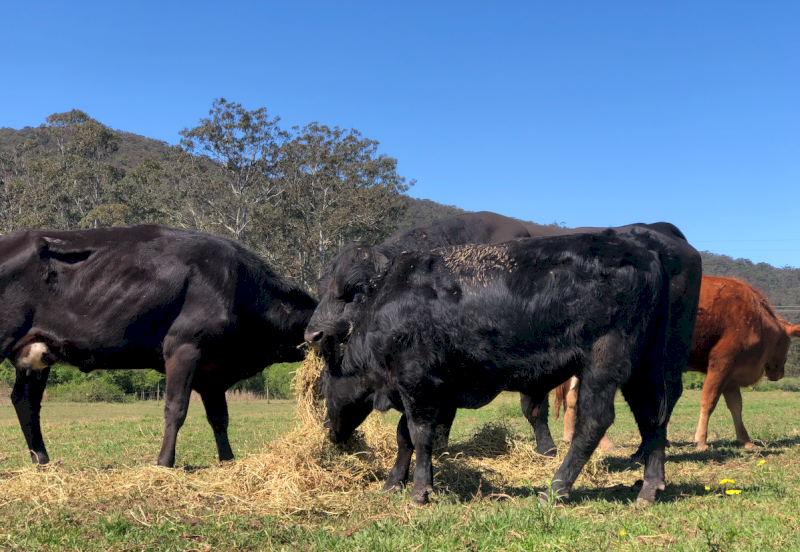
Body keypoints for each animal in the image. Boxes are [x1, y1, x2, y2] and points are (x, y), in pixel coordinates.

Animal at [1, 225, 317, 467]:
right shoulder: (184, 347)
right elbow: (175, 409)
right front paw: (165, 463)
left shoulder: (212, 371)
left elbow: (219, 417)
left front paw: (228, 461)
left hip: (36, 354)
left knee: (25, 401)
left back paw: (43, 462)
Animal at [322, 229, 697, 506]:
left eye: (324, 387)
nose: (331, 434)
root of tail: (647, 253)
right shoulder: (430, 389)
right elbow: (405, 438)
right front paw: (394, 482)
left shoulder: (416, 383)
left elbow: (418, 435)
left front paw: (419, 491)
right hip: (646, 367)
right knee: (653, 417)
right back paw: (649, 488)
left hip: (605, 362)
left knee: (594, 422)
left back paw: (556, 489)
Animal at [688, 276, 800, 451]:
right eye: (788, 343)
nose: (781, 374)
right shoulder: (722, 362)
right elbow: (709, 401)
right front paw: (701, 441)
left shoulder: (732, 374)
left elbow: (736, 406)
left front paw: (746, 440)